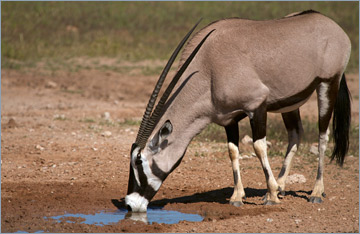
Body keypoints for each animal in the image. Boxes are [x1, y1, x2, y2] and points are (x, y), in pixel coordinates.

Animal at [124, 10, 352, 212]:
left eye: (139, 161)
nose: (131, 204)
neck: (209, 69)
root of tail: (334, 27)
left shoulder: (257, 106)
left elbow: (259, 147)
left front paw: (271, 195)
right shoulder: (229, 118)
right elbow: (233, 151)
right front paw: (237, 197)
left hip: (327, 84)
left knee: (323, 136)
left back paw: (315, 191)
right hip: (290, 102)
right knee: (295, 134)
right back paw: (282, 186)